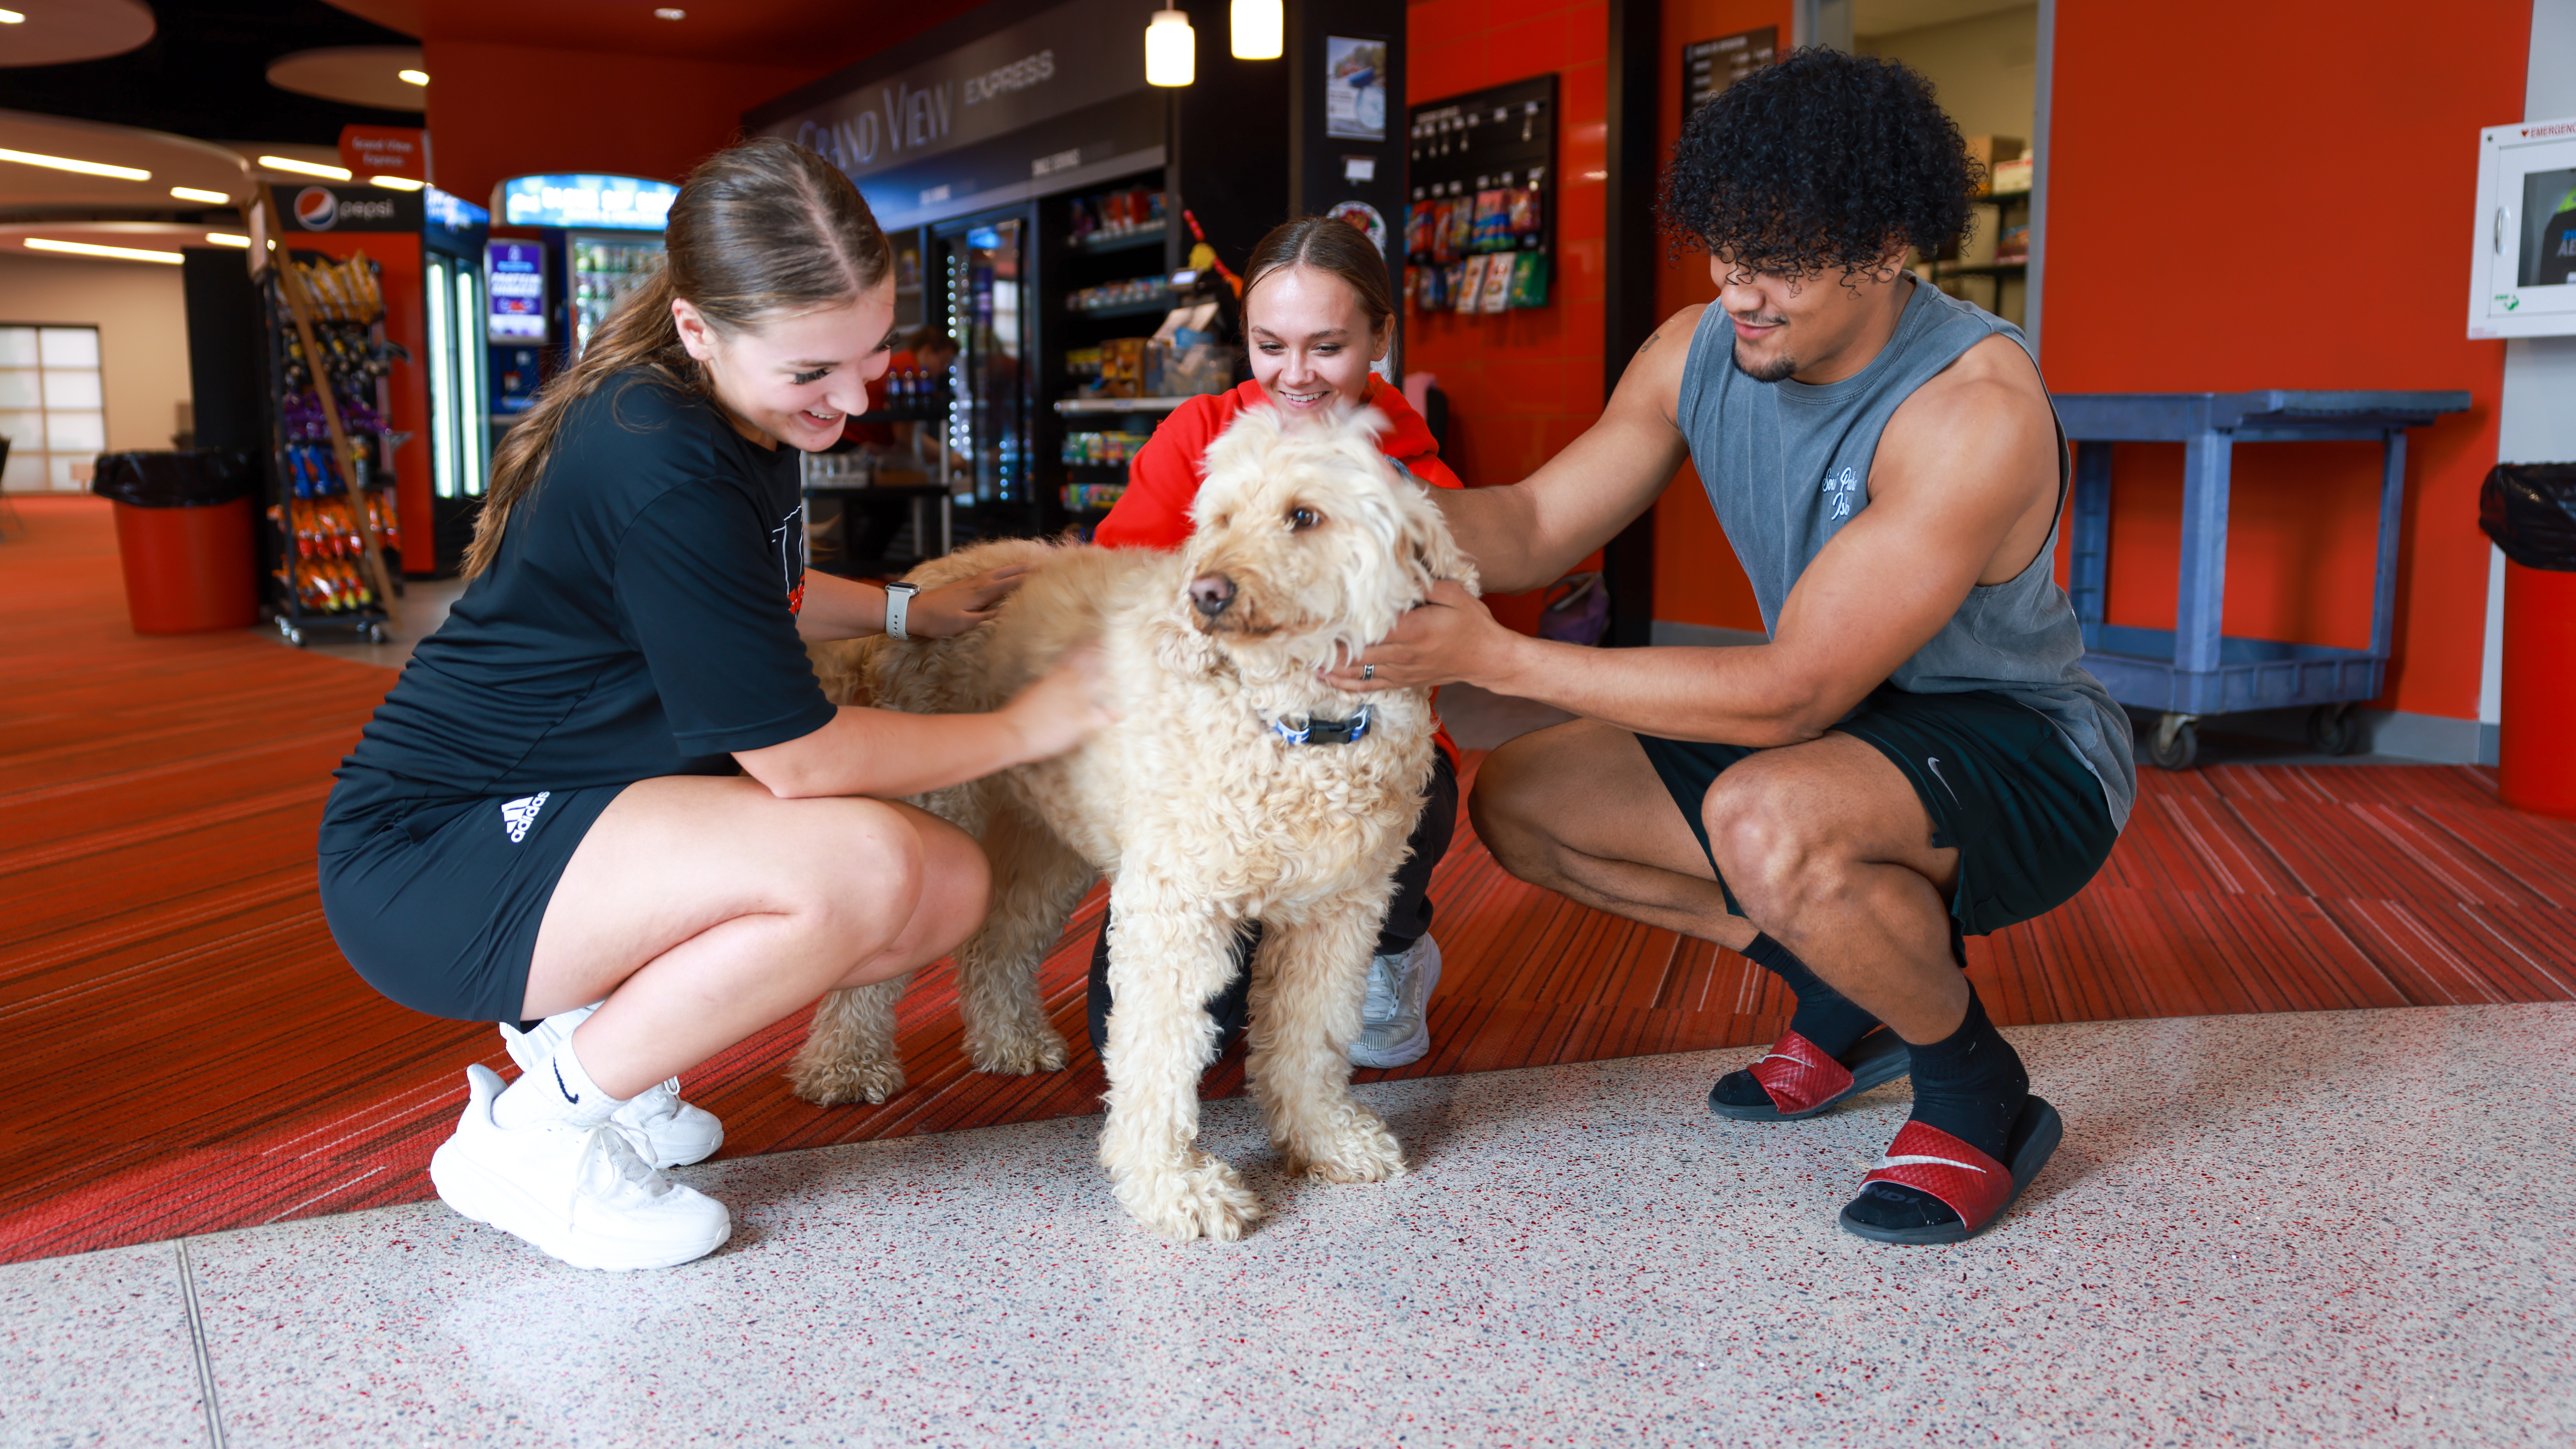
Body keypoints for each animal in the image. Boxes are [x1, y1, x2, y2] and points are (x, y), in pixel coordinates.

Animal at [788, 399, 1473, 1237]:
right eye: (1218, 520)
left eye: (1303, 516)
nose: (1206, 593)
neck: (1297, 726)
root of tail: (929, 576)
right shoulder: (1176, 914)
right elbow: (1159, 1047)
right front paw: (1171, 1184)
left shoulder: (1338, 915)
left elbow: (1311, 1037)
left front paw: (1324, 1139)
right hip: (939, 806)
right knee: (880, 966)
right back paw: (845, 1066)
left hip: (1046, 841)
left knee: (996, 942)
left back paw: (1009, 1040)